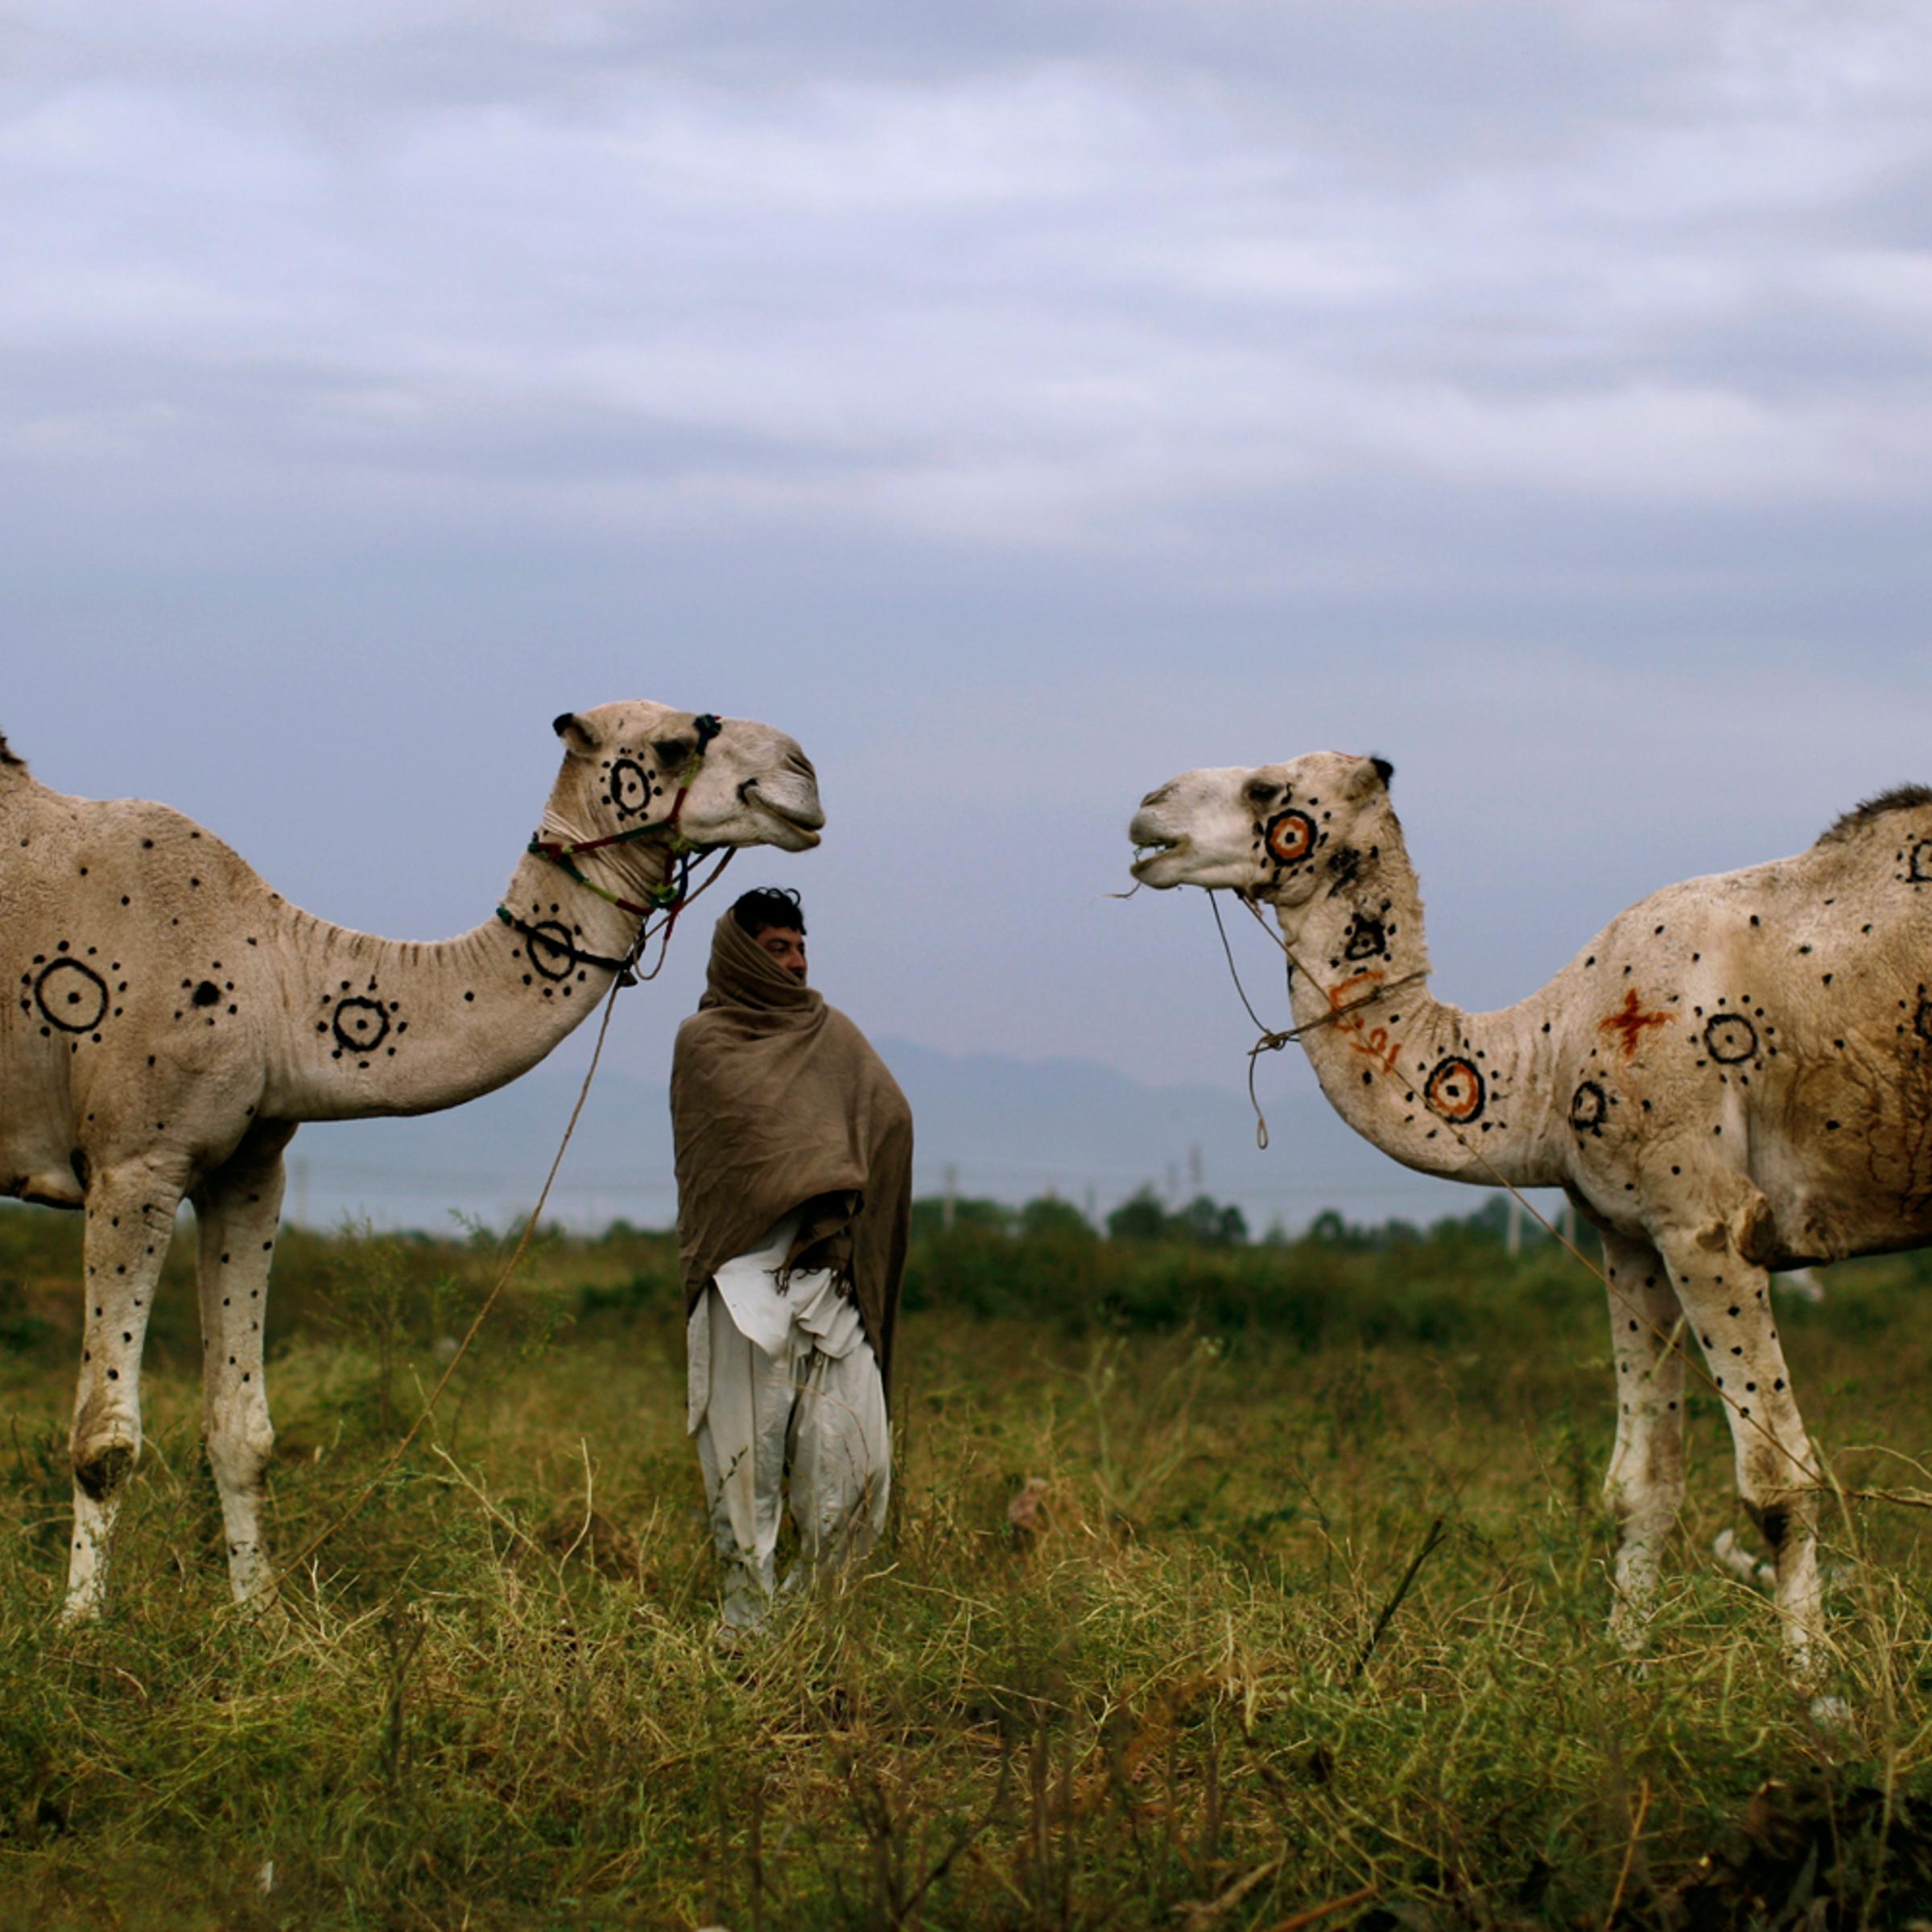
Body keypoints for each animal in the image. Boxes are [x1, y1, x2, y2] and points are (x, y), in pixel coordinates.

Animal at [1, 703, 823, 1620]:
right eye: (678, 743)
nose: (803, 775)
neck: (272, 977)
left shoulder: (248, 1166)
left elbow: (241, 1427)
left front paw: (261, 1618)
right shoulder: (133, 1159)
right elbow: (104, 1439)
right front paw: (81, 1626)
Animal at [1129, 752, 1932, 1667]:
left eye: (1266, 789)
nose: (1148, 812)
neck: (1546, 1056)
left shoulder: (1707, 1220)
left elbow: (1778, 1481)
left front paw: (1810, 1685)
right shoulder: (1629, 1234)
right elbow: (1642, 1483)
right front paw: (1622, 1667)